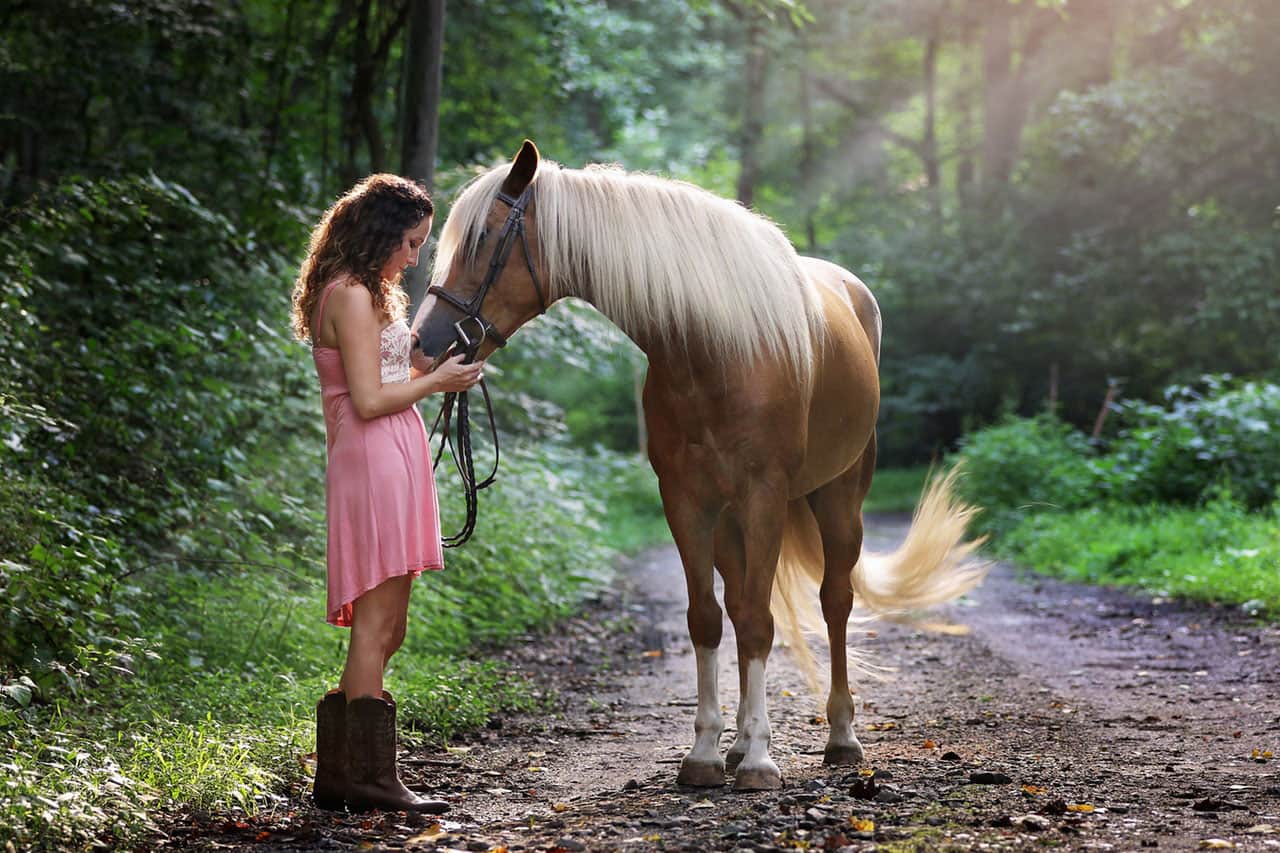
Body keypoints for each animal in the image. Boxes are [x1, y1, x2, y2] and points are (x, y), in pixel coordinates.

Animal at [414, 140, 983, 788]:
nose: (424, 344)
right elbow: (708, 619)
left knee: (834, 601)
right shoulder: (686, 501)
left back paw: (840, 737)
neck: (715, 349)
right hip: (732, 520)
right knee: (738, 603)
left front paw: (761, 761)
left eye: (483, 238)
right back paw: (737, 743)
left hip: (839, 498)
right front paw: (709, 753)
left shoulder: (764, 496)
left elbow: (760, 621)